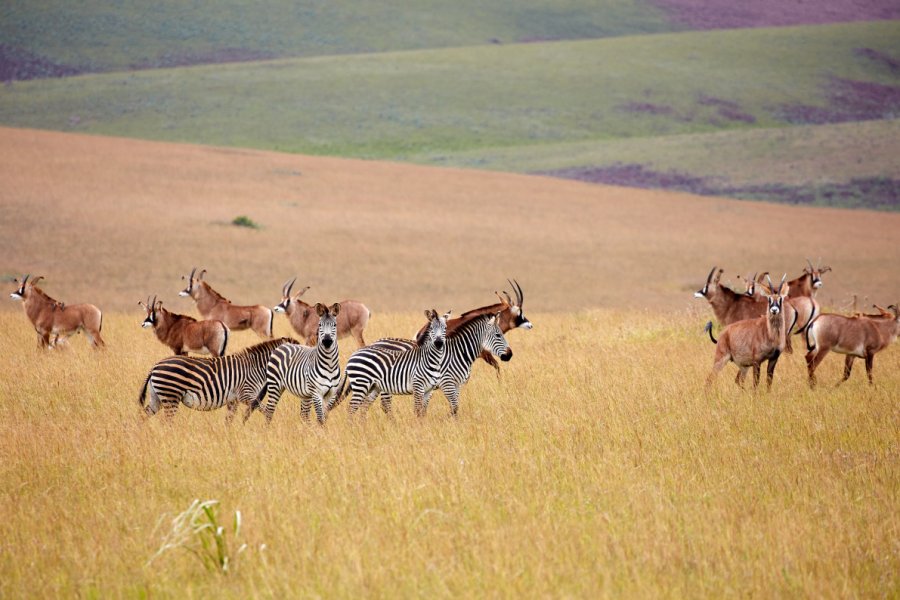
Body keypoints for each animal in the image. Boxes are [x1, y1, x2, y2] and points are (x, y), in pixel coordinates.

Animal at [137, 338, 298, 422]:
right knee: (166, 421)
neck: (256, 367)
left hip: (158, 397)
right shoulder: (246, 394)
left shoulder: (234, 399)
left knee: (145, 416)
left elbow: (229, 419)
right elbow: (264, 410)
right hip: (171, 396)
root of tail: (155, 366)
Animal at [364, 312, 506, 414]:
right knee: (385, 405)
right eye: (498, 335)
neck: (457, 352)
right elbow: (453, 406)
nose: (508, 355)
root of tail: (375, 342)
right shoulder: (447, 382)